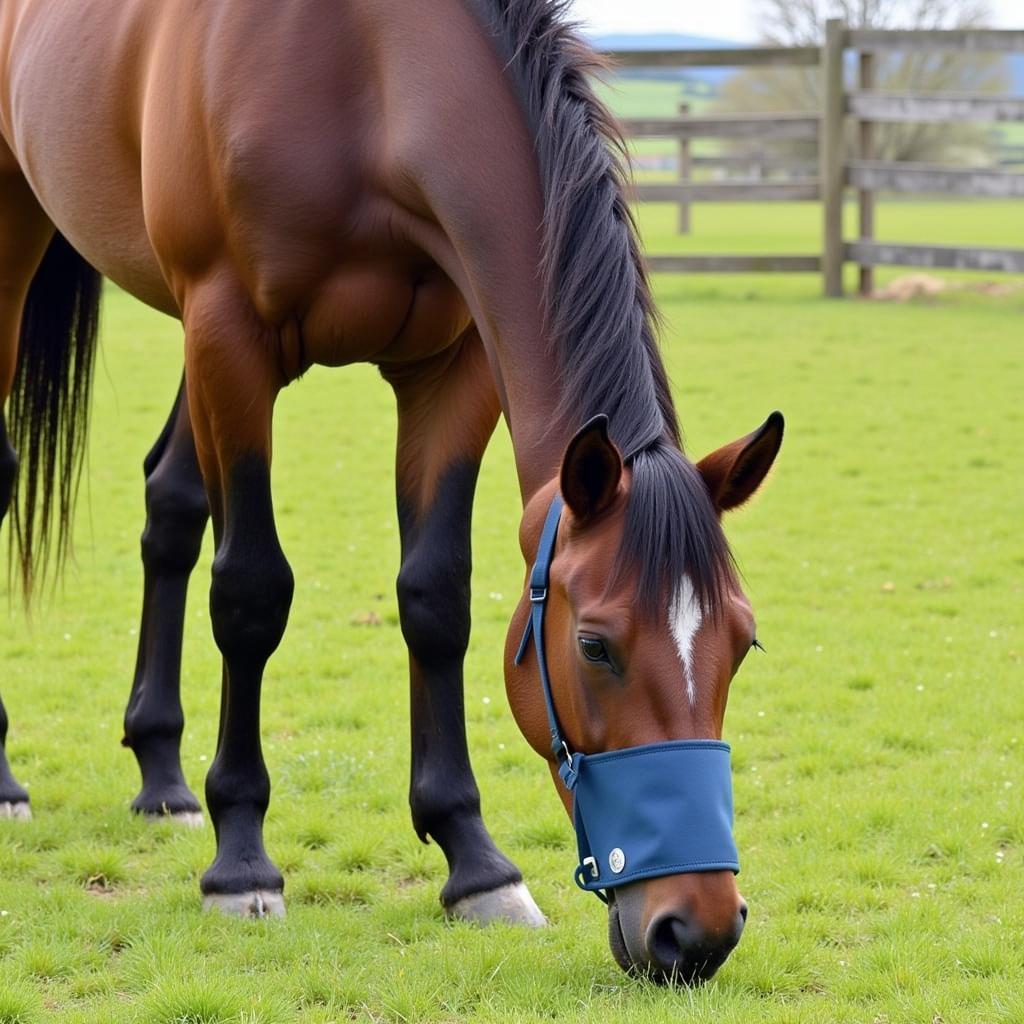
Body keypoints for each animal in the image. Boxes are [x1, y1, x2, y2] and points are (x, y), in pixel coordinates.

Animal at [0, 0, 782, 978]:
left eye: (743, 644)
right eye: (596, 646)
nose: (698, 929)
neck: (362, 75)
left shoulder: (451, 369)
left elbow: (435, 597)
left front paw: (476, 863)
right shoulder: (231, 335)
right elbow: (251, 592)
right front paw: (242, 862)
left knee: (171, 506)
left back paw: (162, 775)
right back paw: (9, 779)